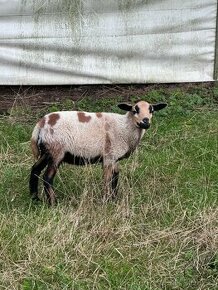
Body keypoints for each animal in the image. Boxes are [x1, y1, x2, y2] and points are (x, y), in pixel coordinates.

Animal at [29, 101, 167, 205]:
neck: (125, 127)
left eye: (152, 110)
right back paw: (53, 203)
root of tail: (41, 123)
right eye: (135, 110)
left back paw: (35, 198)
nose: (145, 122)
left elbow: (115, 177)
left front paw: (114, 199)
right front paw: (106, 201)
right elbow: (107, 179)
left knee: (35, 169)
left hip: (46, 151)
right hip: (56, 151)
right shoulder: (109, 156)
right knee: (47, 177)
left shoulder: (114, 158)